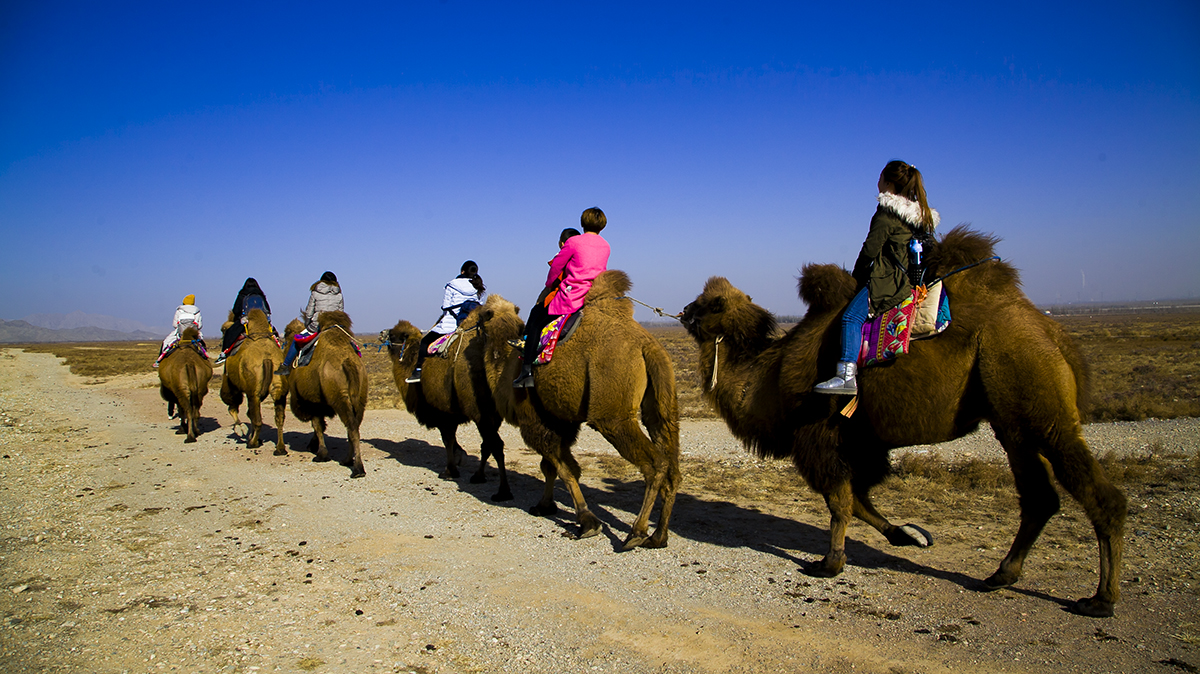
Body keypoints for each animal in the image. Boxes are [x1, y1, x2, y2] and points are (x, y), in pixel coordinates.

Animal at [219, 309, 286, 450]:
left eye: (224, 329)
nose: (221, 343)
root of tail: (267, 358)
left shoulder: (229, 380)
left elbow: (232, 405)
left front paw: (241, 430)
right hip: (279, 385)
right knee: (278, 417)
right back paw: (280, 448)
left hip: (252, 389)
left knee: (256, 419)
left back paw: (252, 443)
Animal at [283, 309, 367, 477]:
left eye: (285, 333)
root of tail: (349, 362)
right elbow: (320, 425)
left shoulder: (312, 401)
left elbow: (318, 425)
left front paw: (321, 454)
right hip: (359, 399)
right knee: (353, 427)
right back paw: (347, 460)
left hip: (340, 398)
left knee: (351, 428)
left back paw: (357, 469)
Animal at [384, 293, 516, 498]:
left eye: (393, 335)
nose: (383, 334)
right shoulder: (462, 413)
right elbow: (461, 442)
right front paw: (461, 462)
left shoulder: (443, 411)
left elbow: (448, 440)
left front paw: (450, 470)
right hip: (491, 413)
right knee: (488, 444)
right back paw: (478, 476)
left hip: (481, 412)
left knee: (496, 445)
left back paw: (503, 491)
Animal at [499, 269, 686, 549]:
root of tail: (648, 346)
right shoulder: (561, 417)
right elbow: (555, 465)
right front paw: (548, 506)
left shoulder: (535, 415)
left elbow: (559, 464)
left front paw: (583, 521)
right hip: (662, 406)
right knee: (672, 464)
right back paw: (658, 536)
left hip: (613, 415)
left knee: (656, 464)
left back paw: (636, 533)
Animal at [681, 225, 1128, 614]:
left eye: (712, 304)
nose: (683, 311)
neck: (769, 376)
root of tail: (1054, 335)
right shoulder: (861, 441)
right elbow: (858, 499)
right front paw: (907, 535)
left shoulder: (819, 436)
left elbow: (840, 501)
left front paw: (829, 563)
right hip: (1011, 421)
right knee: (1039, 497)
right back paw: (1002, 575)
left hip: (1039, 401)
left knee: (1100, 494)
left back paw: (1100, 599)